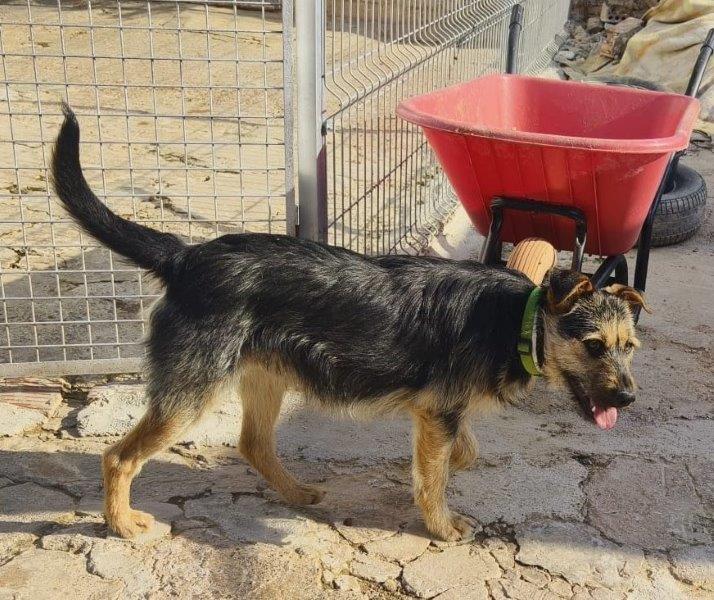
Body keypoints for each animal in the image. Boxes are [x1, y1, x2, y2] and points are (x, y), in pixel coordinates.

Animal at [52, 104, 648, 542]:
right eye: (594, 345)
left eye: (630, 347)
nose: (627, 399)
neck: (517, 319)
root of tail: (185, 256)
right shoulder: (438, 412)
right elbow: (437, 473)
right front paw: (442, 524)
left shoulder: (441, 413)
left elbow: (461, 451)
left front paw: (447, 473)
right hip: (190, 394)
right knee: (118, 457)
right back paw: (123, 524)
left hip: (265, 378)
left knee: (253, 444)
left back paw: (296, 494)